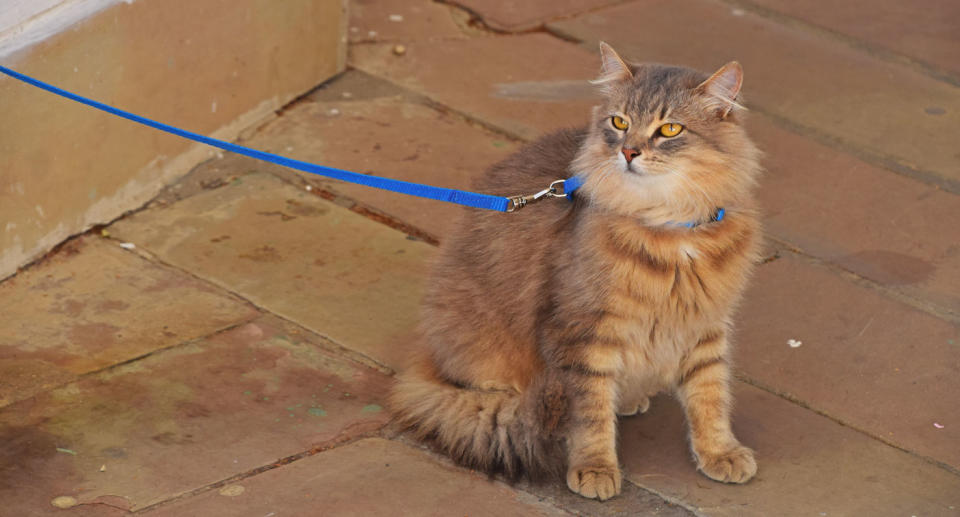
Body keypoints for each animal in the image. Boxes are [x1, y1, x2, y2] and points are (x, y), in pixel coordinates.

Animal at [386, 42, 760, 498]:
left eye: (670, 130)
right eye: (619, 122)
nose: (629, 152)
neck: (669, 227)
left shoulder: (706, 326)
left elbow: (711, 396)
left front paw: (721, 453)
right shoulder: (584, 336)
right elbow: (591, 415)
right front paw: (595, 469)